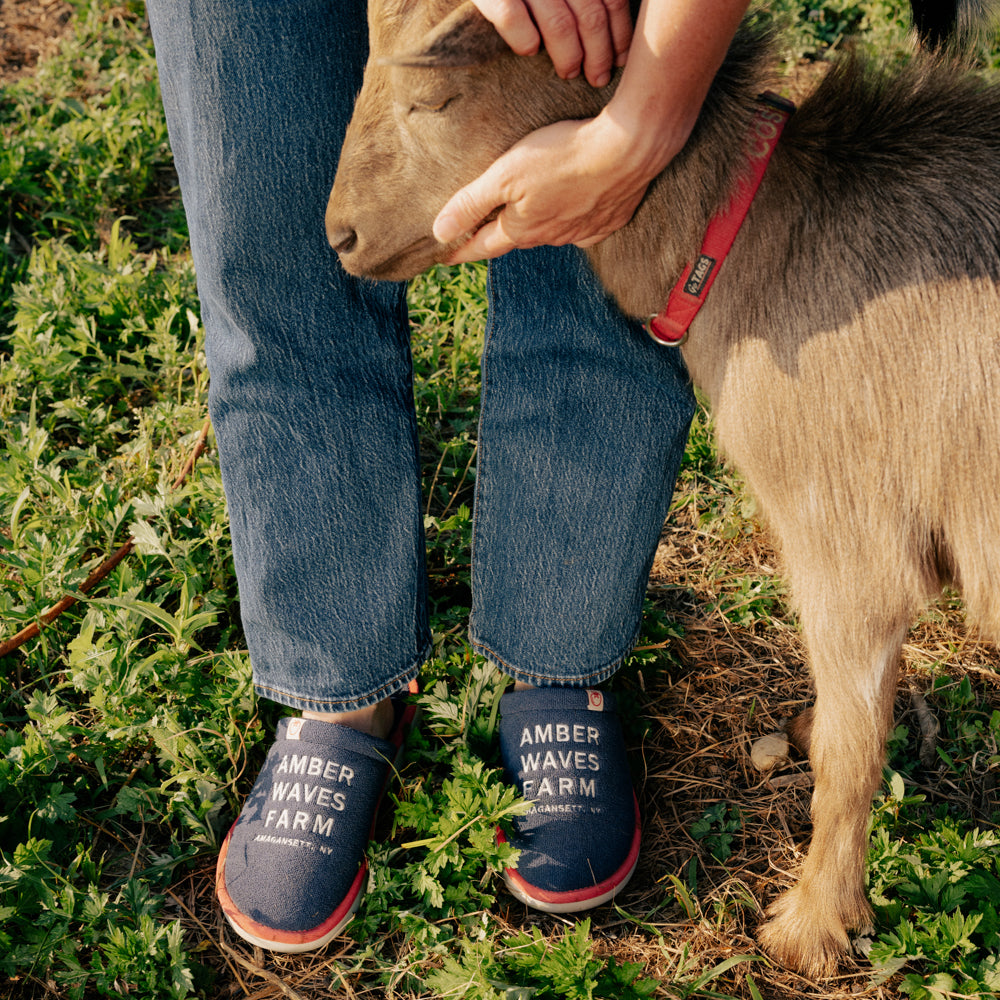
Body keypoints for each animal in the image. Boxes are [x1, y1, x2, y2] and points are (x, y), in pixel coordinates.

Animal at [325, 0, 1000, 978]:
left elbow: (851, 754)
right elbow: (852, 720)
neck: (757, 236)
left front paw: (810, 926)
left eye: (433, 96)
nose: (336, 236)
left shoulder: (847, 540)